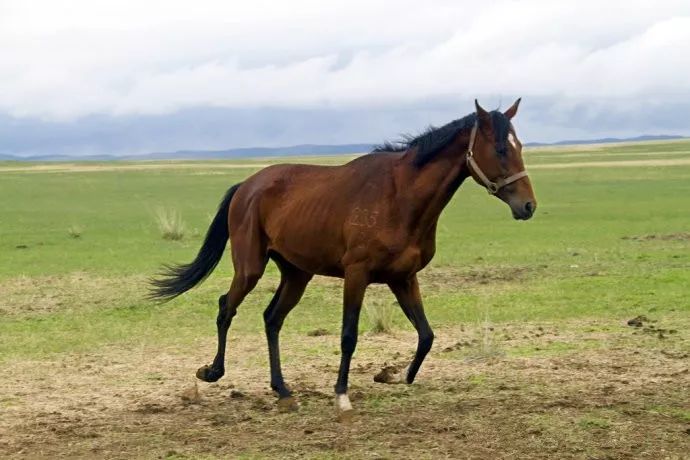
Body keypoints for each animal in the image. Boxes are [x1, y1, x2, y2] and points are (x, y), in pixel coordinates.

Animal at [150, 98, 536, 420]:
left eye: (520, 146)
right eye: (501, 148)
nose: (528, 206)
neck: (400, 197)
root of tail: (246, 185)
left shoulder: (403, 278)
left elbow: (426, 335)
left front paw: (395, 376)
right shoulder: (357, 274)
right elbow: (349, 335)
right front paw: (342, 395)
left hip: (296, 274)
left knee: (272, 319)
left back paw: (283, 391)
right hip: (250, 268)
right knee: (226, 308)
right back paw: (212, 372)